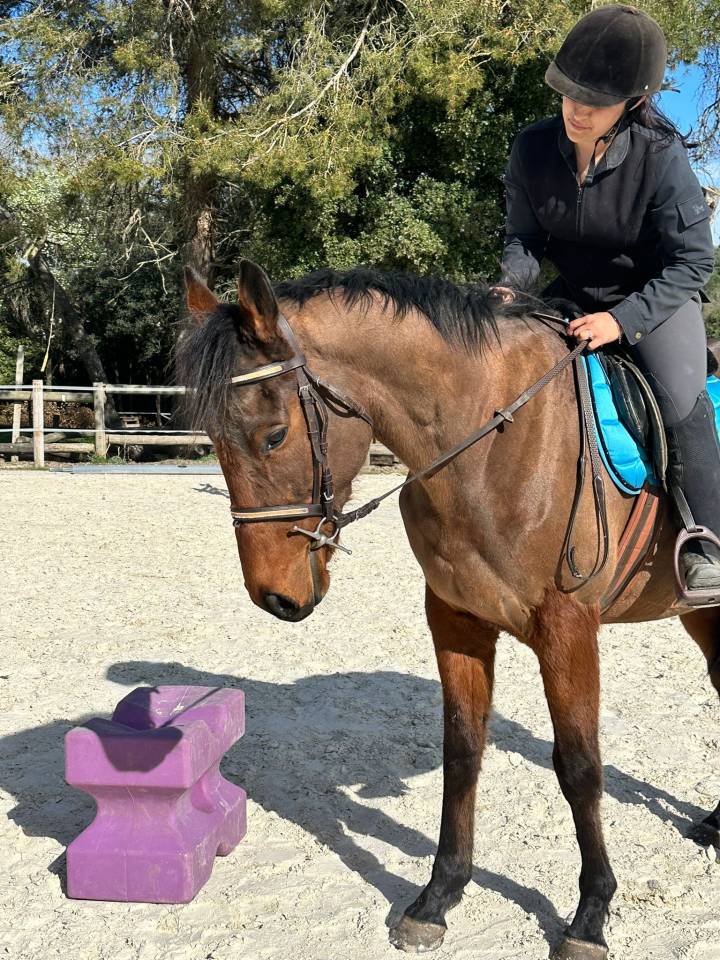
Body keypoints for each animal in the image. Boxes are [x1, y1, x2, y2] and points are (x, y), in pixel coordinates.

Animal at [177, 258, 720, 960]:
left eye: (274, 435)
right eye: (213, 440)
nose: (275, 597)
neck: (489, 442)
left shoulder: (567, 630)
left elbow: (579, 767)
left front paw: (590, 913)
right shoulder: (456, 621)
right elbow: (462, 752)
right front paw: (438, 897)